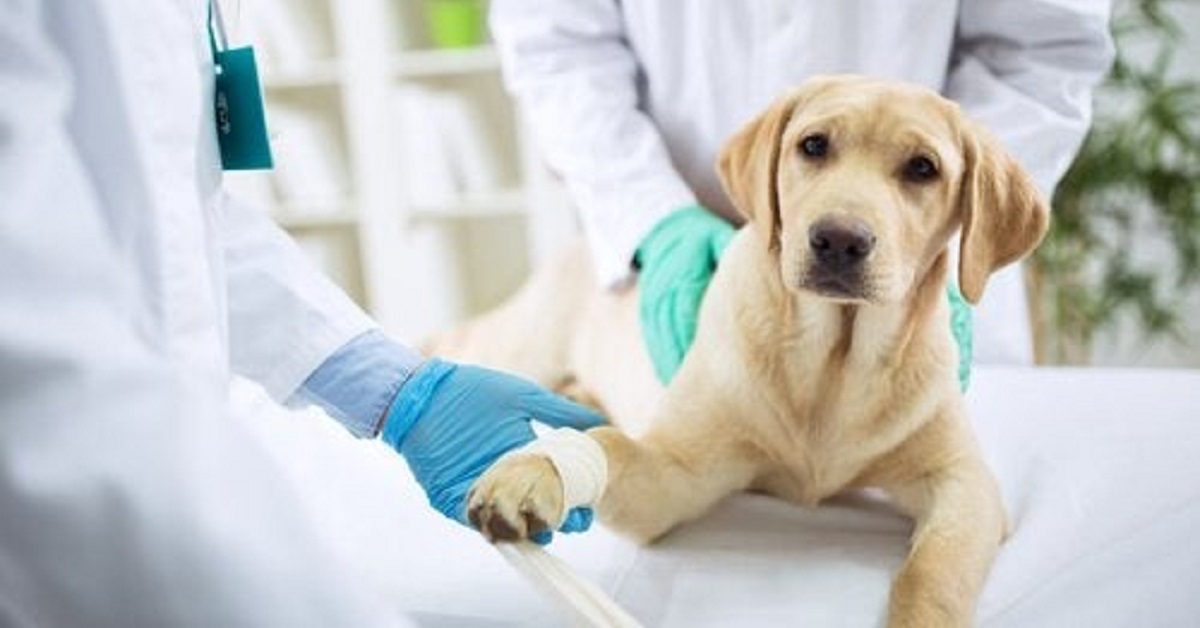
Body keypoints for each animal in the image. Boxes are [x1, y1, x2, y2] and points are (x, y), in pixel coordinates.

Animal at [444, 76, 1051, 624]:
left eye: (924, 168)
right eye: (813, 145)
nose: (839, 240)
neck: (834, 360)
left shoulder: (964, 482)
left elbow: (934, 572)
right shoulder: (673, 475)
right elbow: (609, 446)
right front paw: (534, 471)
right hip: (517, 344)